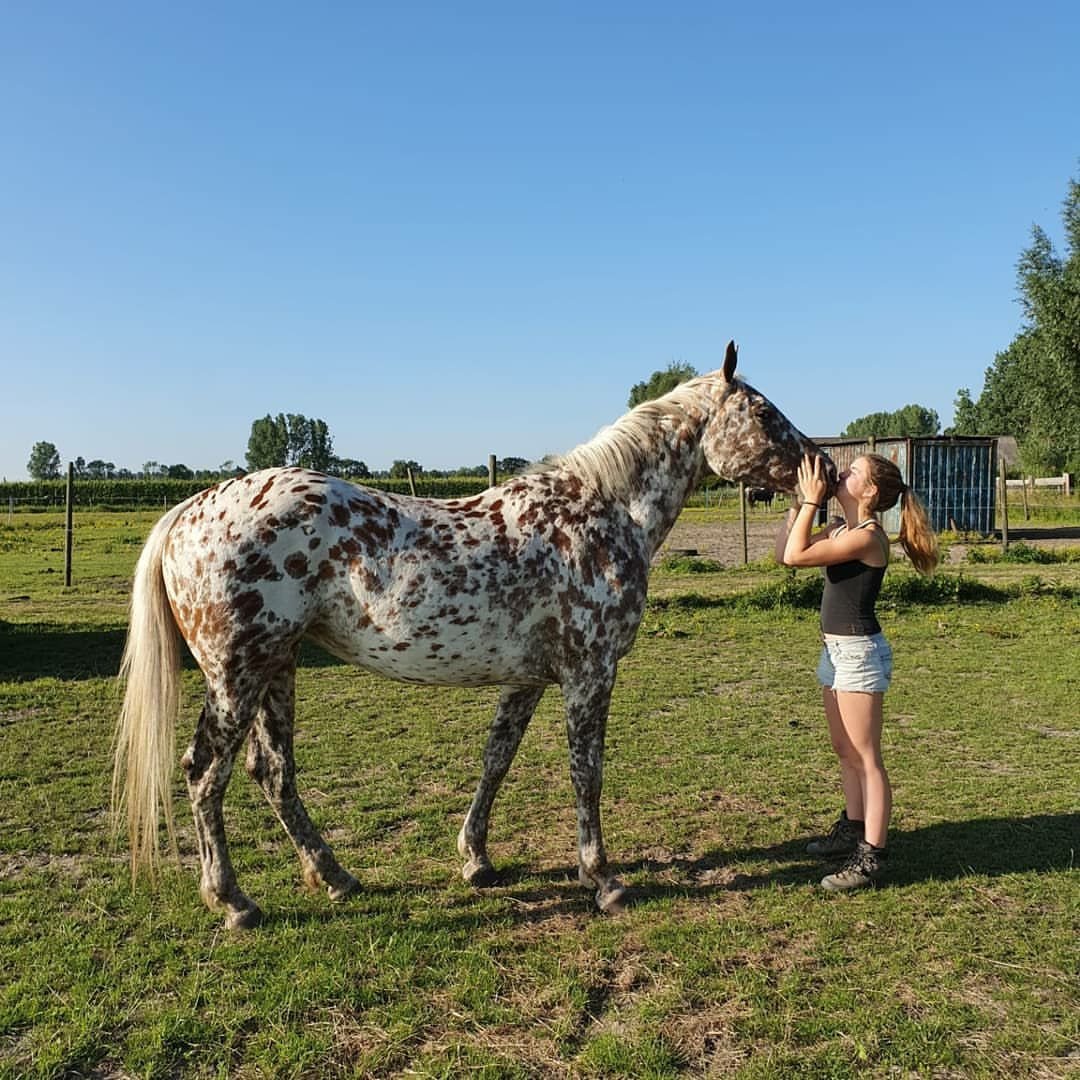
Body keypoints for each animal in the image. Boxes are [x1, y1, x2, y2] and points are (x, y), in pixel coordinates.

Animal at [114, 341, 836, 929]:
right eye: (764, 414)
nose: (824, 470)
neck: (601, 513)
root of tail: (189, 510)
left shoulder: (528, 679)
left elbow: (497, 759)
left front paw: (476, 859)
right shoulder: (590, 673)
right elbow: (586, 772)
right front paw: (602, 879)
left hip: (279, 666)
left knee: (272, 772)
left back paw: (336, 877)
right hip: (237, 673)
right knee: (206, 772)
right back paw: (234, 901)